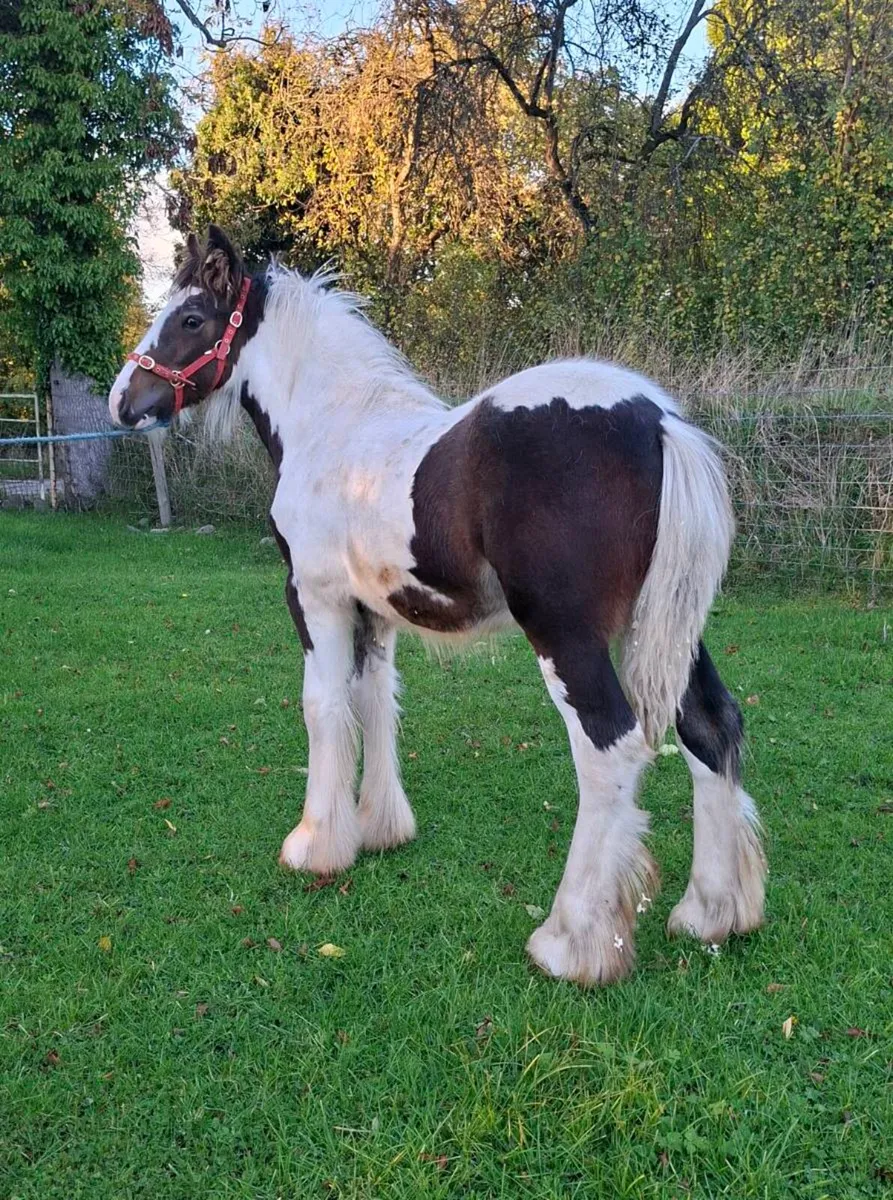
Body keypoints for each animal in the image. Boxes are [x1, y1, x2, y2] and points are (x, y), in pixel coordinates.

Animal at [109, 225, 766, 986]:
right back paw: (711, 913)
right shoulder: (374, 610)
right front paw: (379, 829)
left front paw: (315, 843)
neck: (332, 427)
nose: (123, 400)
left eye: (190, 318)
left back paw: (570, 943)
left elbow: (322, 706)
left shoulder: (314, 598)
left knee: (610, 749)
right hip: (666, 628)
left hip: (566, 636)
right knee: (708, 725)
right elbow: (374, 700)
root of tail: (655, 422)